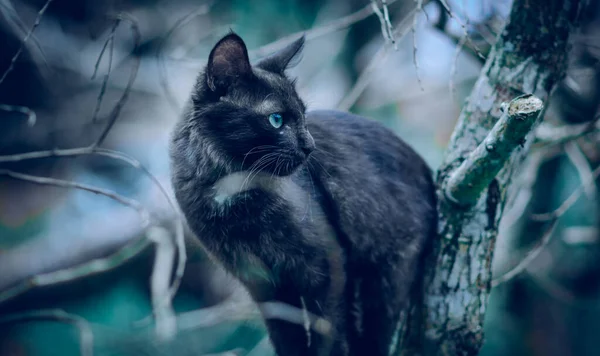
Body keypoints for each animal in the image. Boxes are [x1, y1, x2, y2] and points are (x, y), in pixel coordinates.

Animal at [169, 32, 436, 354]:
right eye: (276, 120)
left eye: (303, 116)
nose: (310, 146)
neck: (231, 196)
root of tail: (424, 168)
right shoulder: (265, 287)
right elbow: (287, 339)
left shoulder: (325, 269)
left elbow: (328, 335)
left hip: (385, 276)